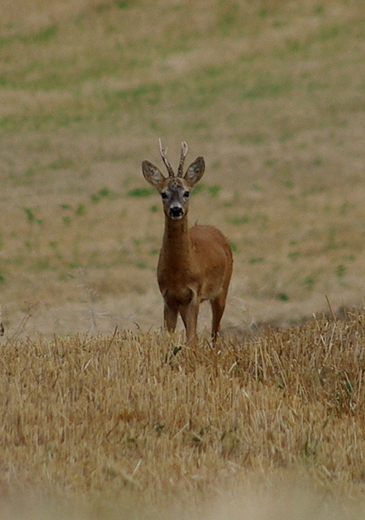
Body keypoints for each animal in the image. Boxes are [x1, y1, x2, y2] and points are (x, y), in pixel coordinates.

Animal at [141, 140, 232, 348]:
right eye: (163, 194)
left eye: (186, 192)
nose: (176, 210)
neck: (178, 273)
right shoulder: (168, 297)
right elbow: (169, 336)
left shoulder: (195, 293)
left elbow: (192, 338)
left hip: (223, 288)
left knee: (215, 331)